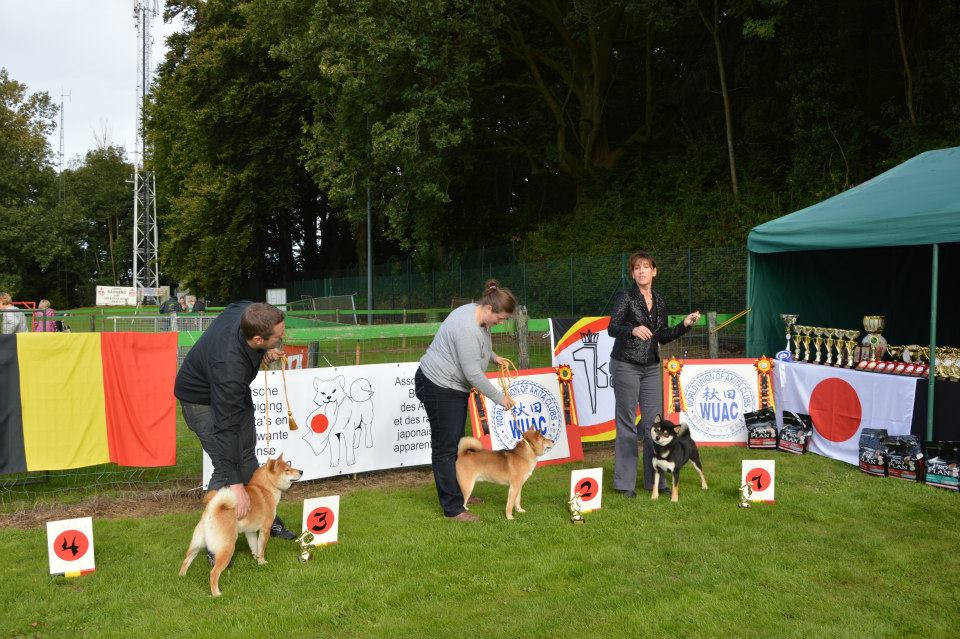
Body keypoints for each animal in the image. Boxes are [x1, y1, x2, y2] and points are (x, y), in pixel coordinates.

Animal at [176, 456, 302, 596]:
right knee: (214, 573)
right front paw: (262, 561)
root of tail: (212, 511)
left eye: (289, 467)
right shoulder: (265, 529)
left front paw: (256, 561)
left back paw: (182, 577)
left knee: (186, 561)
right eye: (287, 470)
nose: (301, 471)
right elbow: (261, 548)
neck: (265, 489)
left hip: (196, 545)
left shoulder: (250, 532)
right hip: (227, 547)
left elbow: (255, 547)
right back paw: (216, 594)